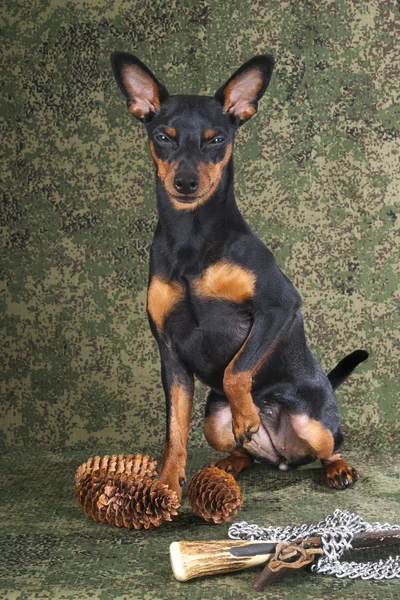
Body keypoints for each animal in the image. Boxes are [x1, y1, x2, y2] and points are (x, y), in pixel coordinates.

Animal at [111, 52, 368, 502]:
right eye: (163, 137)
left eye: (216, 140)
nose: (186, 182)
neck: (191, 236)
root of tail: (281, 456)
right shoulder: (170, 356)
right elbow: (173, 432)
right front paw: (166, 486)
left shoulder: (278, 307)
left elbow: (236, 369)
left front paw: (246, 414)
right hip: (213, 421)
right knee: (242, 451)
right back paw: (229, 462)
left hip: (313, 423)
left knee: (331, 445)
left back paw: (336, 467)